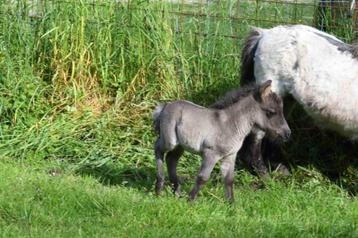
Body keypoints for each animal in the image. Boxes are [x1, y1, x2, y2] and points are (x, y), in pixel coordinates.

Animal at [152, 81, 290, 202]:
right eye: (271, 112)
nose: (287, 133)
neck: (231, 124)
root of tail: (166, 106)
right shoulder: (211, 154)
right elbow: (202, 178)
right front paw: (190, 201)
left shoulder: (230, 156)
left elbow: (229, 180)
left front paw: (232, 205)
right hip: (170, 141)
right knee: (158, 148)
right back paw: (159, 187)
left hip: (181, 146)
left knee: (171, 159)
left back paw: (176, 191)